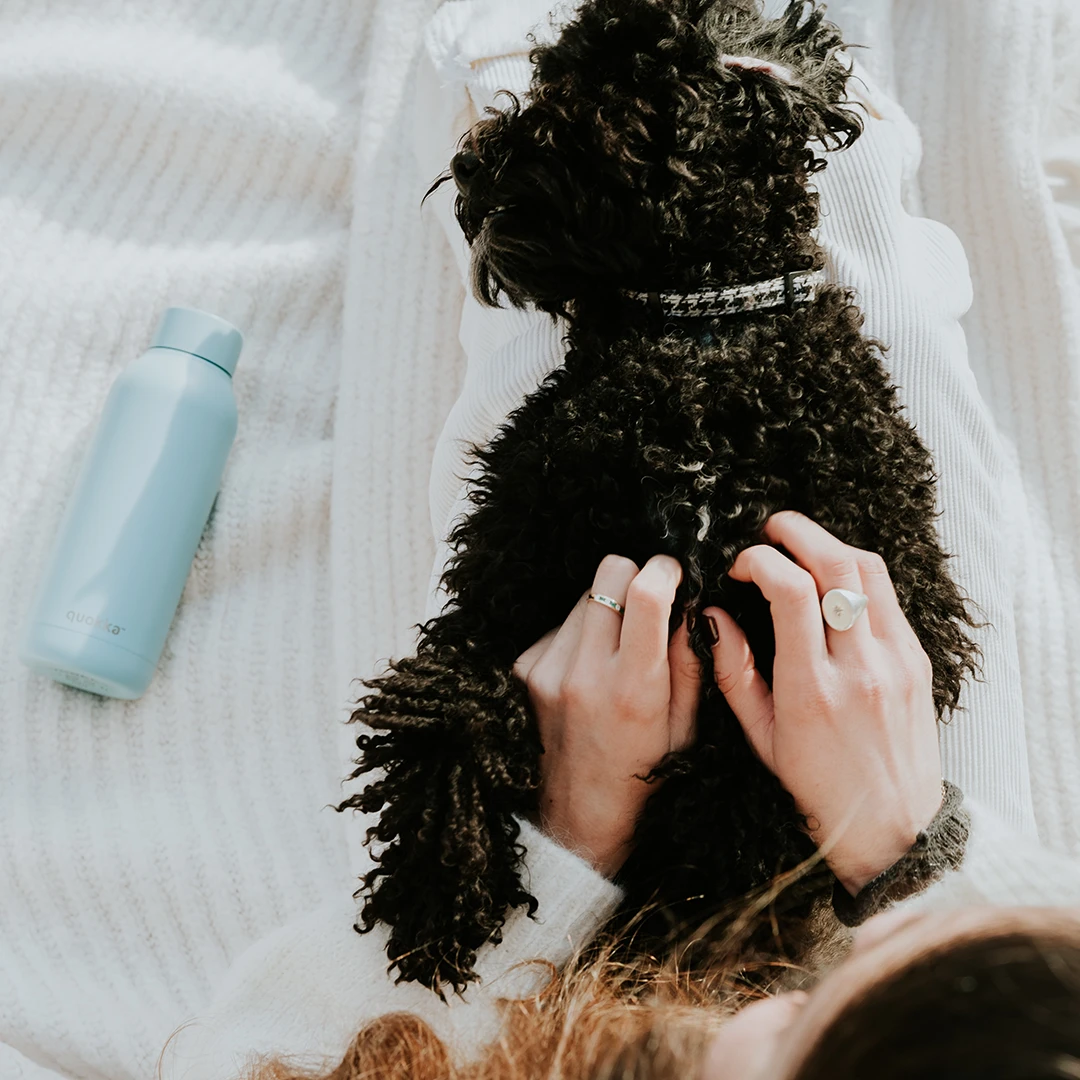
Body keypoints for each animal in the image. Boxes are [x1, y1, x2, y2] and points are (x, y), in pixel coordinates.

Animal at [339, 0, 989, 993]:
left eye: (574, 98)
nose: (471, 167)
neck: (705, 337)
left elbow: (736, 807)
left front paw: (683, 935)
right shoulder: (504, 574)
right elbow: (451, 700)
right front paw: (436, 890)